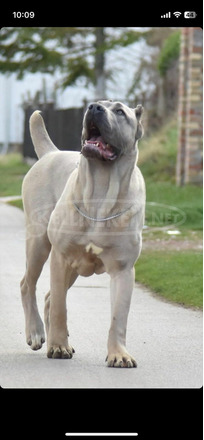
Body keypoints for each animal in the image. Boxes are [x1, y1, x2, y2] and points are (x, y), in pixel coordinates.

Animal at [20, 100, 145, 368]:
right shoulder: (61, 258)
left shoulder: (123, 269)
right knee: (29, 285)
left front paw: (118, 354)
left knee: (48, 296)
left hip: (73, 268)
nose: (94, 107)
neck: (101, 193)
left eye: (120, 111)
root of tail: (51, 153)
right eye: (97, 104)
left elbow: (119, 317)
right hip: (39, 243)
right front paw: (58, 346)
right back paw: (36, 332)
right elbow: (60, 308)